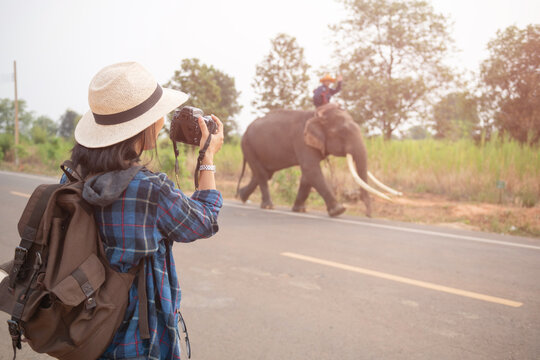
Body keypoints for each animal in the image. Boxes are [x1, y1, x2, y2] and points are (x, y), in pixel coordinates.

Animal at [236, 107, 400, 218]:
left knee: (264, 173)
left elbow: (307, 175)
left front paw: (301, 210)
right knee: (263, 175)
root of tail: (245, 132)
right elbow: (311, 169)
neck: (317, 115)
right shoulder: (301, 140)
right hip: (248, 146)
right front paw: (339, 211)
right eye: (343, 133)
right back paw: (268, 206)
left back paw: (242, 196)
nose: (369, 215)